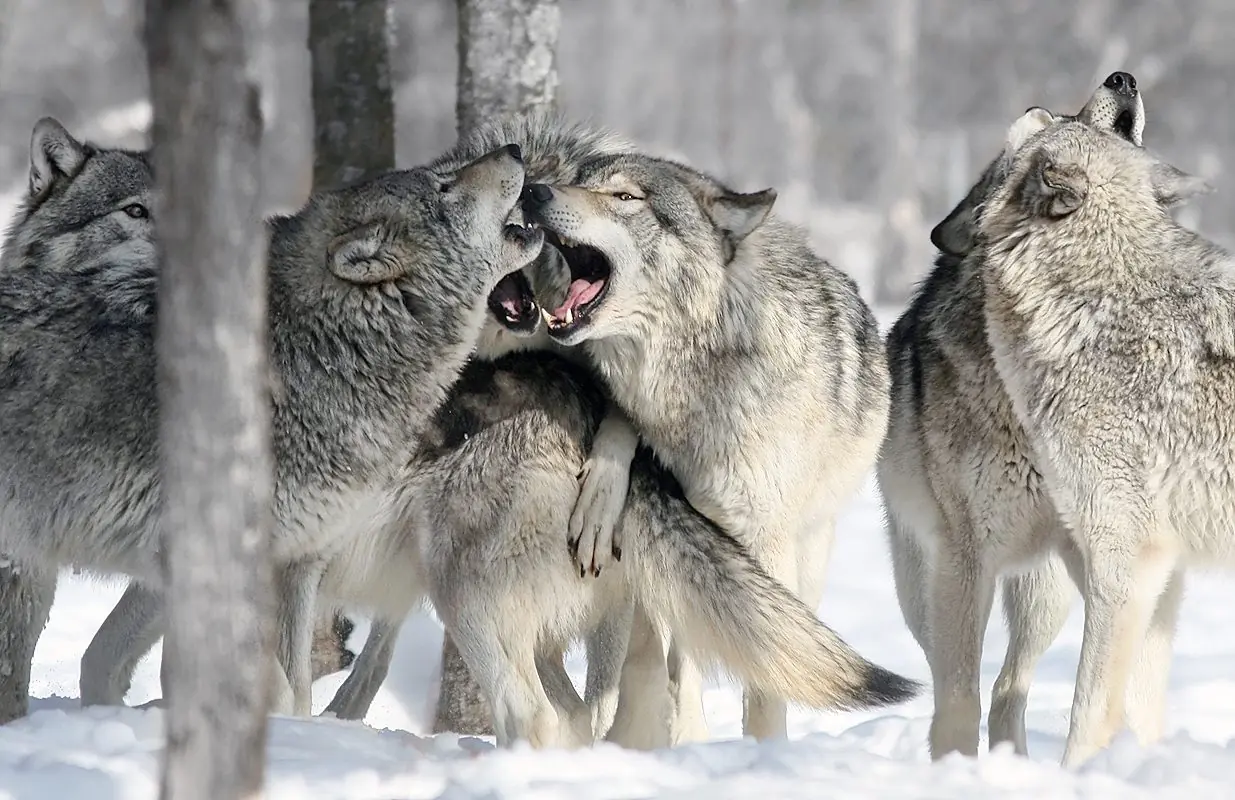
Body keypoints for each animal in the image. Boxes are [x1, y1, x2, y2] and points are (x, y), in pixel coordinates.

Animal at [0, 115, 541, 717]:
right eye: (443, 187)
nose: (515, 148)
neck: (318, 345)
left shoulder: (297, 564)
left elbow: (295, 689)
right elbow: (276, 689)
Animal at [520, 144, 893, 744]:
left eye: (625, 196)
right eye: (580, 181)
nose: (532, 190)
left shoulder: (763, 538)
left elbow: (766, 681)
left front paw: (763, 752)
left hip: (803, 557)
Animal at [876, 72, 1163, 760]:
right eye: (1045, 123)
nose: (1121, 78)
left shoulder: (1103, 547)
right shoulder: (965, 560)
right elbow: (957, 699)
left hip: (1045, 593)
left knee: (1012, 685)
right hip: (923, 588)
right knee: (961, 677)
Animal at [976, 110, 1215, 768]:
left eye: (1039, 136)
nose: (1040, 108)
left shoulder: (1124, 555)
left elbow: (1090, 707)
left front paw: (1075, 775)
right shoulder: (1156, 567)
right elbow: (1138, 705)